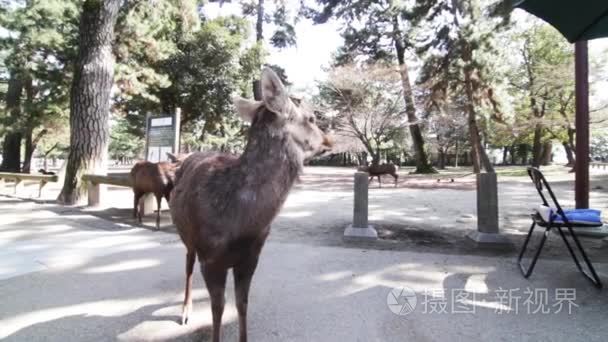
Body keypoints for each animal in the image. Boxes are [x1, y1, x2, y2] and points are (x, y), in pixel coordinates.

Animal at [170, 67, 332, 342]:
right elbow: (218, 308)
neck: (242, 223)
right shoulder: (210, 258)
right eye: (311, 118)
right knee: (188, 265)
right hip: (188, 237)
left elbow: (242, 304)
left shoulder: (252, 257)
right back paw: (185, 312)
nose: (329, 140)